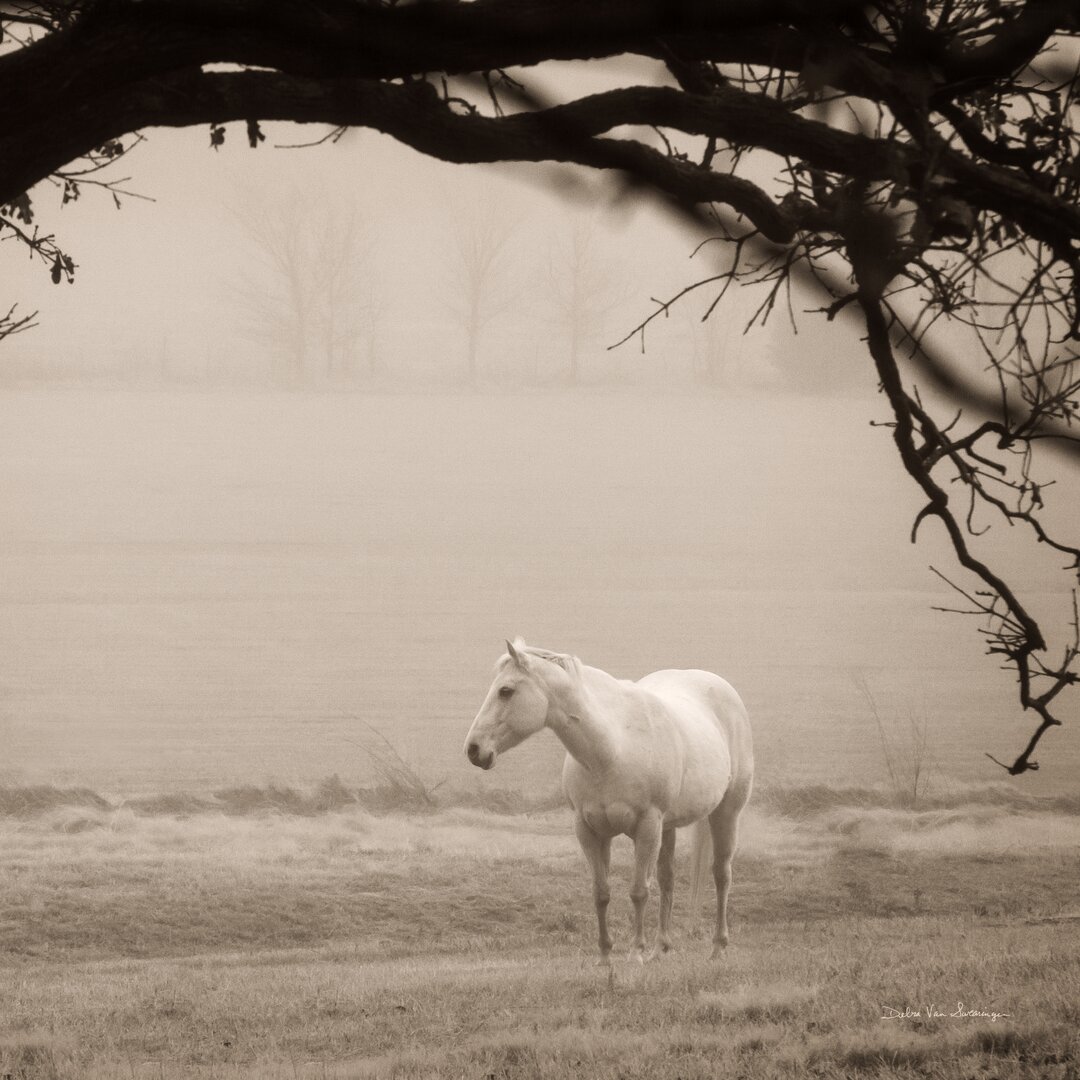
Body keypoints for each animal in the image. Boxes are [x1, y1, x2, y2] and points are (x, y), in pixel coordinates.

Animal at [462, 635, 751, 959]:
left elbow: (639, 891)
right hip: (669, 827)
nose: (474, 749)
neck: (612, 749)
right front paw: (604, 955)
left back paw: (717, 947)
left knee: (721, 874)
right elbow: (601, 893)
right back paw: (660, 948)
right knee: (668, 878)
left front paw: (635, 952)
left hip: (725, 812)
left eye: (506, 691)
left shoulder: (647, 827)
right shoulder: (590, 830)